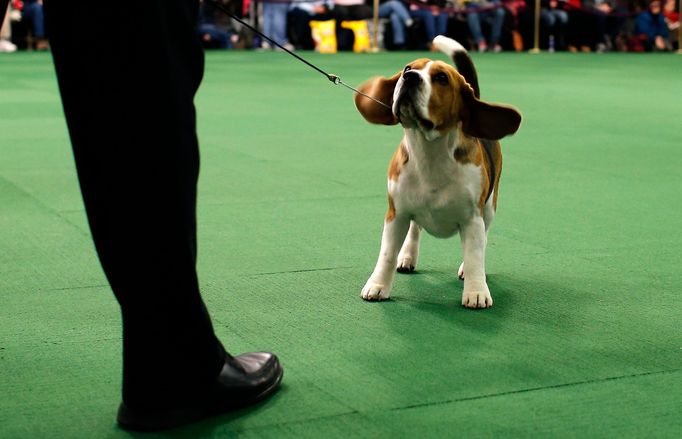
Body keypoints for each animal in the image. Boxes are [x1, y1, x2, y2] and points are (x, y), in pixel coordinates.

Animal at [350, 36, 520, 310]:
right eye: (408, 67)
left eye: (441, 78)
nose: (409, 77)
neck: (429, 151)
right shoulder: (396, 213)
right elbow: (386, 254)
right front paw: (378, 285)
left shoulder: (472, 218)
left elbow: (475, 255)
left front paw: (476, 291)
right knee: (415, 228)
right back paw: (407, 256)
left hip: (489, 207)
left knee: (483, 237)